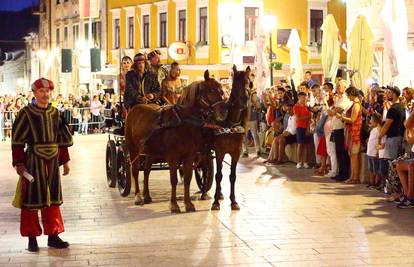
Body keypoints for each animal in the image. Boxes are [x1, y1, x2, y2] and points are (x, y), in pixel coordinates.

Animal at [124, 70, 226, 214]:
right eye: (211, 90)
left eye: (221, 89)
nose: (223, 112)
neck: (184, 121)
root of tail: (135, 108)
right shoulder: (173, 157)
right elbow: (173, 180)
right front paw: (174, 205)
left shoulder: (189, 157)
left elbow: (188, 178)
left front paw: (188, 204)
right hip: (133, 149)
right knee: (135, 170)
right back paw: (138, 196)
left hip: (151, 152)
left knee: (147, 170)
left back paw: (147, 195)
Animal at [212, 65, 251, 211]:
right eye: (235, 83)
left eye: (248, 81)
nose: (245, 99)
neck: (230, 125)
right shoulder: (219, 152)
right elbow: (218, 176)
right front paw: (215, 202)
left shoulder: (236, 153)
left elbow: (232, 176)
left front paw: (233, 201)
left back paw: (220, 194)